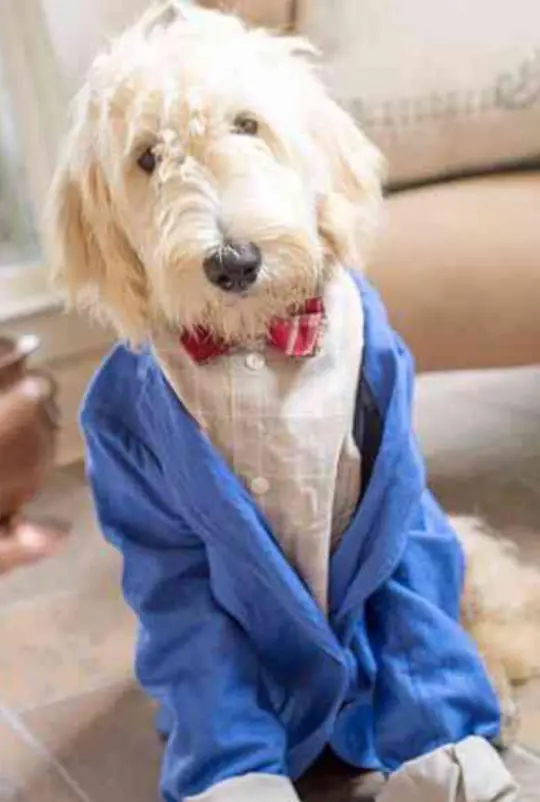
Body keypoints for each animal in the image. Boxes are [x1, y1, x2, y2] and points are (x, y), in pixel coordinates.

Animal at [43, 3, 540, 796]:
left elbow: (417, 625)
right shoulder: (167, 540)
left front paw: (448, 756)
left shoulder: (391, 507)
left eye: (247, 125)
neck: (257, 339)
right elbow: (202, 654)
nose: (233, 262)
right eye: (147, 158)